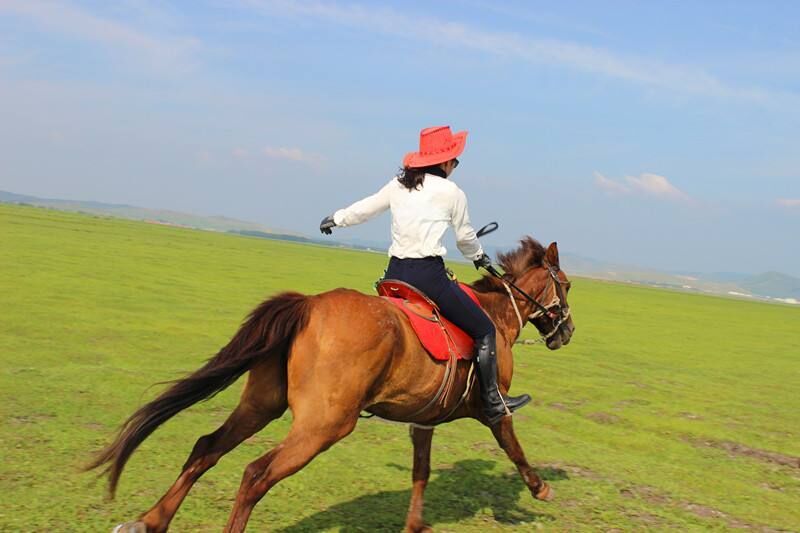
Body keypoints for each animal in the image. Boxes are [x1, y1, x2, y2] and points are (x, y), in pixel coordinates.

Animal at [89, 238, 576, 532]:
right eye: (567, 286)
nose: (567, 332)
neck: (497, 315)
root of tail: (308, 305)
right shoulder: (493, 408)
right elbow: (513, 445)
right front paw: (539, 489)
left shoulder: (424, 420)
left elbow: (420, 472)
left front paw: (413, 524)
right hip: (324, 426)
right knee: (255, 474)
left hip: (262, 405)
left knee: (207, 447)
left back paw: (149, 520)